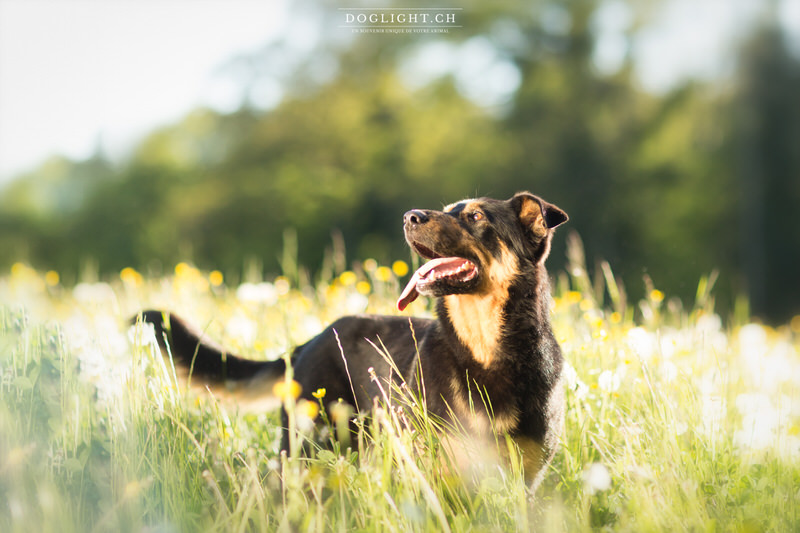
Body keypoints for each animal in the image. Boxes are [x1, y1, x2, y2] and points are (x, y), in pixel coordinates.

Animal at [141, 191, 572, 486]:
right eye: (450, 208)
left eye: (476, 215)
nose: (409, 216)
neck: (483, 350)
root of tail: (310, 340)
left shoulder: (527, 479)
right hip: (305, 446)